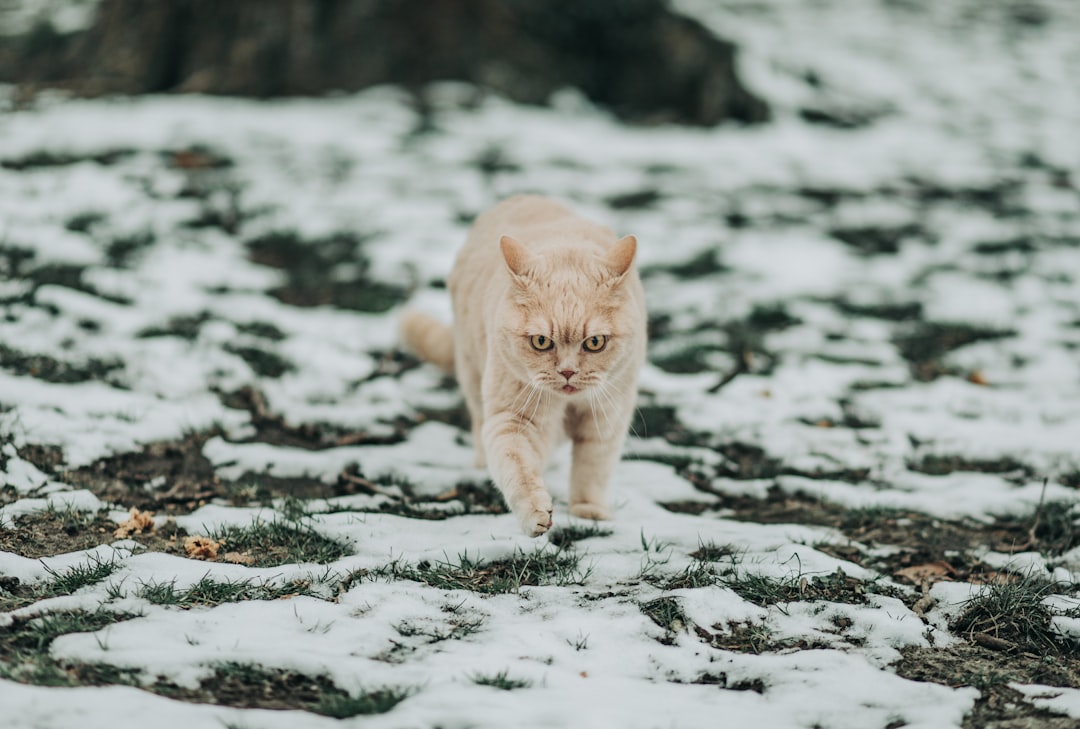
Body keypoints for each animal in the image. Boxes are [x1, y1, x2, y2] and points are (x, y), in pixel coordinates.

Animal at [401, 194, 643, 535]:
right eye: (541, 341)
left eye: (595, 342)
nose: (567, 372)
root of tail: (519, 197)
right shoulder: (513, 418)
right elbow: (518, 468)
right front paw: (536, 512)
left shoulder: (607, 417)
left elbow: (593, 469)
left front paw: (589, 510)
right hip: (472, 374)